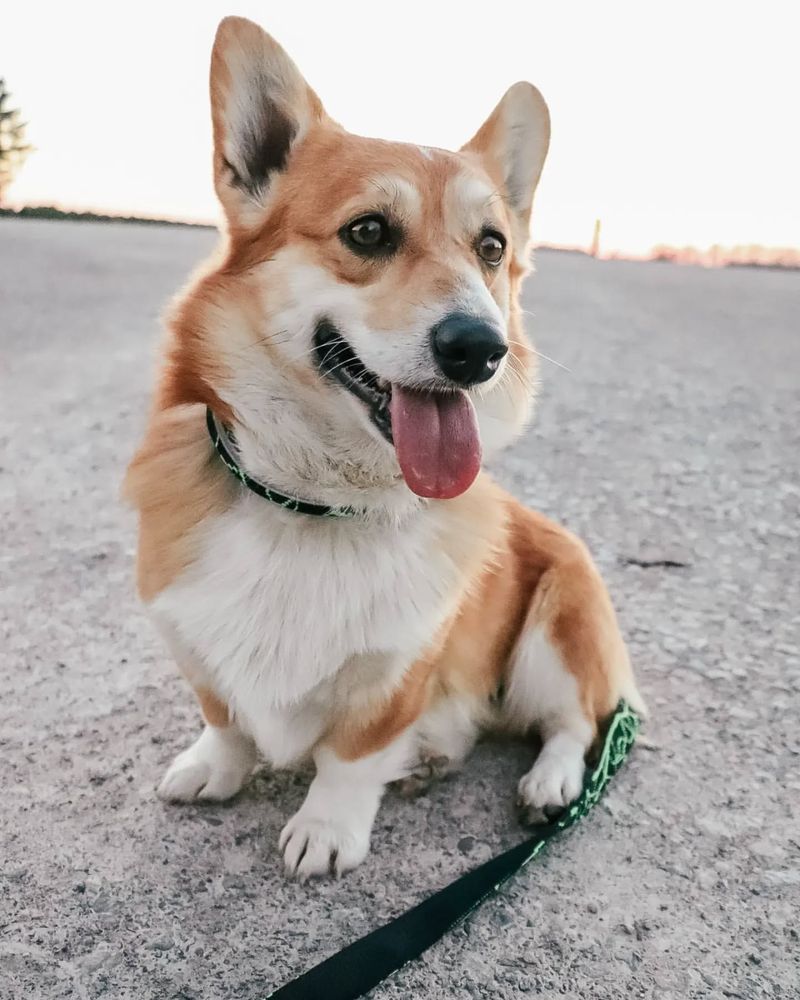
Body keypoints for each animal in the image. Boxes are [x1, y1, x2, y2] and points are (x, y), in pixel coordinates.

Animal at [128, 13, 648, 876]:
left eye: (491, 247)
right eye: (368, 231)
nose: (480, 349)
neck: (315, 505)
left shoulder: (402, 670)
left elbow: (352, 753)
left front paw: (327, 829)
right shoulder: (188, 634)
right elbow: (224, 716)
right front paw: (214, 769)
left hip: (556, 632)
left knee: (574, 723)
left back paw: (549, 783)